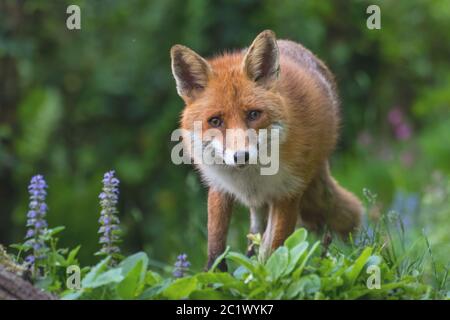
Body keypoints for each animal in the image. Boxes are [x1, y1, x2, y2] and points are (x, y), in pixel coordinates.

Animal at [169, 30, 362, 270]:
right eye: (215, 121)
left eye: (253, 114)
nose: (241, 155)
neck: (251, 178)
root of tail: (291, 43)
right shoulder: (219, 187)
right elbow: (216, 247)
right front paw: (214, 274)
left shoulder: (288, 193)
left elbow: (274, 250)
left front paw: (266, 274)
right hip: (261, 205)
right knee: (254, 235)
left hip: (311, 193)